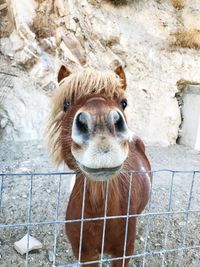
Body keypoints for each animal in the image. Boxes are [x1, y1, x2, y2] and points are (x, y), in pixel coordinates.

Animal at [48, 61, 152, 266]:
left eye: (123, 103)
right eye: (66, 104)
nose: (101, 128)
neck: (100, 219)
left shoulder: (122, 254)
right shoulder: (86, 256)